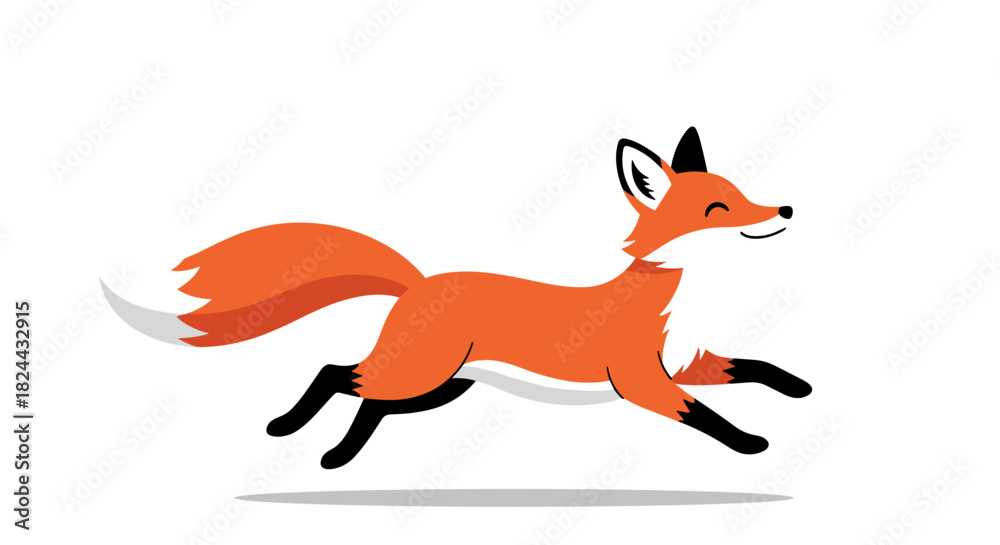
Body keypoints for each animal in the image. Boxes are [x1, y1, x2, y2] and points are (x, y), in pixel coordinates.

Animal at [105, 127, 810, 469]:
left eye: (741, 193)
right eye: (717, 210)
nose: (784, 209)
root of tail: (421, 281)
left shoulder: (691, 361)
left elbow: (756, 367)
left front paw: (798, 387)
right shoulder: (642, 379)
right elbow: (705, 416)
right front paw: (750, 444)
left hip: (442, 387)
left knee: (368, 401)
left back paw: (338, 455)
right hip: (422, 374)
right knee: (334, 373)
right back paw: (295, 430)